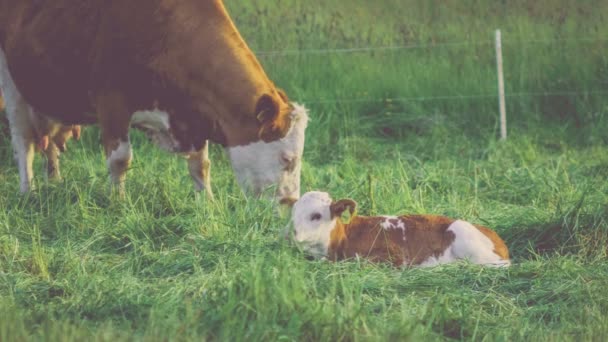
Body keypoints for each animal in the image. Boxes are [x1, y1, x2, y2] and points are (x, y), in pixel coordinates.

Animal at [1, 0, 308, 200]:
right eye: (287, 159)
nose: (291, 204)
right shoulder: (111, 101)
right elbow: (120, 160)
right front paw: (118, 203)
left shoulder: (194, 114)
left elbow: (201, 165)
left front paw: (208, 203)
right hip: (12, 85)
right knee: (23, 142)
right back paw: (28, 192)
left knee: (48, 144)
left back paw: (55, 181)